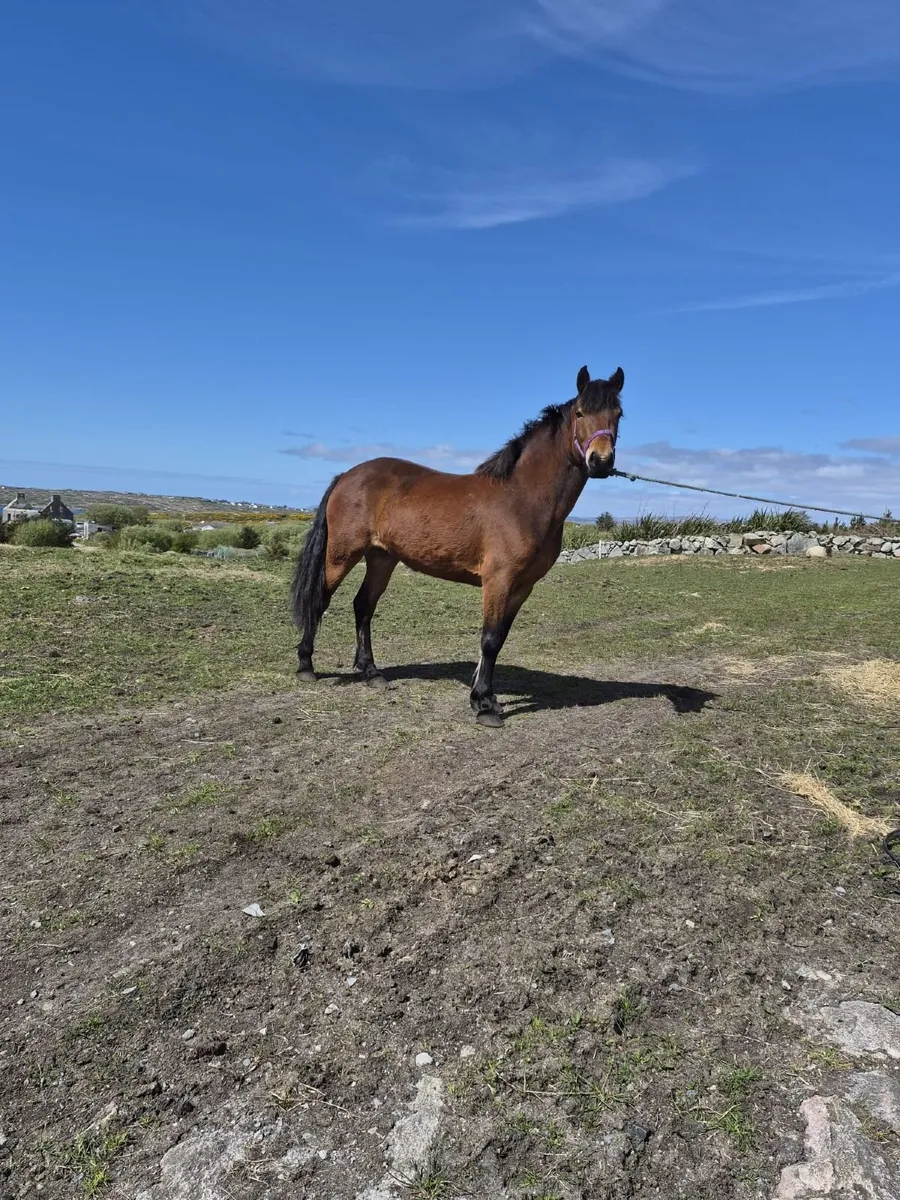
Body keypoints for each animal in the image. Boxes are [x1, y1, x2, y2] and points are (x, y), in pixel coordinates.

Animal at [291, 364, 624, 726]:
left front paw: (485, 696)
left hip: (382, 558)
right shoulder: (498, 580)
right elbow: (489, 639)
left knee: (363, 606)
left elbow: (499, 638)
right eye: (580, 413)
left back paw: (372, 673)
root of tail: (346, 475)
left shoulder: (523, 586)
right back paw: (306, 666)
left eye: (618, 415)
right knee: (321, 599)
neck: (521, 497)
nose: (601, 461)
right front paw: (484, 705)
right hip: (341, 555)